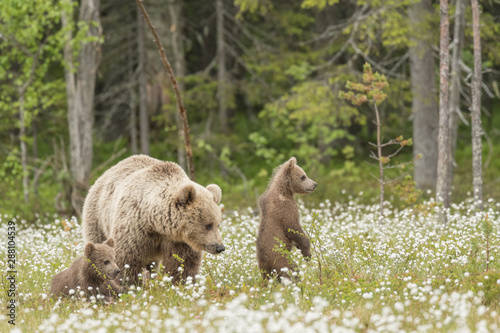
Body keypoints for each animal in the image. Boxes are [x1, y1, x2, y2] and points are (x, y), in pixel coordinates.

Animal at [82, 154, 225, 284]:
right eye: (208, 225)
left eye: (217, 224)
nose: (220, 247)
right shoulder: (133, 228)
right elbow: (126, 259)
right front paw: (129, 285)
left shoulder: (179, 241)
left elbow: (182, 262)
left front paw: (179, 283)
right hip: (98, 217)